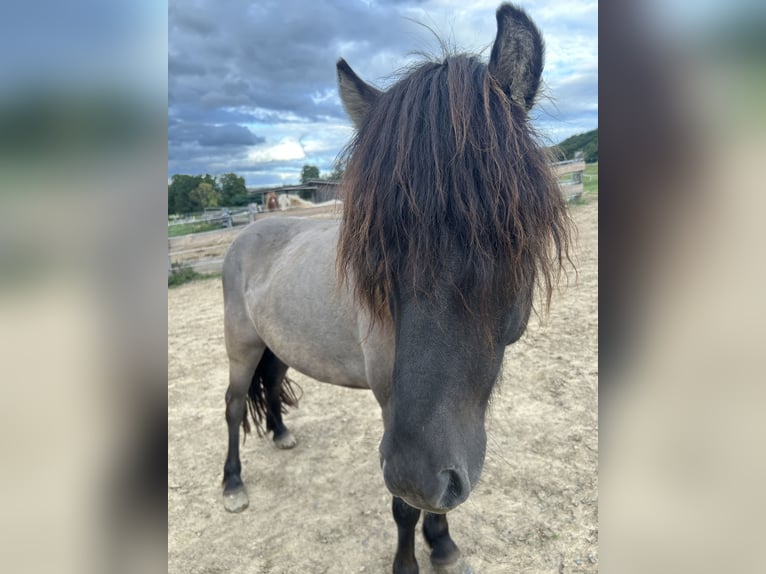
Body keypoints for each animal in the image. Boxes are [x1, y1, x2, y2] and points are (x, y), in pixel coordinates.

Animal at [221, 4, 573, 573]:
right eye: (373, 252)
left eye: (506, 234)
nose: (422, 476)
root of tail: (246, 234)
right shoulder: (394, 413)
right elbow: (402, 506)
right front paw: (411, 558)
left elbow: (435, 502)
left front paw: (443, 544)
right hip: (241, 347)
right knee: (233, 406)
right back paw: (232, 485)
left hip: (278, 346)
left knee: (270, 386)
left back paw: (280, 433)